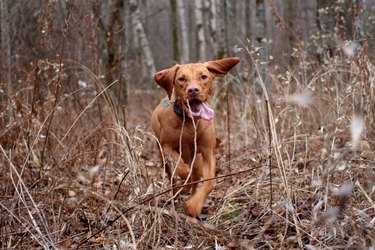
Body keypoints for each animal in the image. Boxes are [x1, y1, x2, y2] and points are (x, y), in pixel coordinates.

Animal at [151, 56, 241, 217]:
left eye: (203, 76)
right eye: (181, 79)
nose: (193, 90)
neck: (189, 122)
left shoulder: (207, 152)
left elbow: (209, 182)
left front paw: (194, 205)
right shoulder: (167, 147)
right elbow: (183, 170)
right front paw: (184, 186)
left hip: (197, 160)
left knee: (195, 176)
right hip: (163, 157)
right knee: (173, 176)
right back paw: (176, 193)